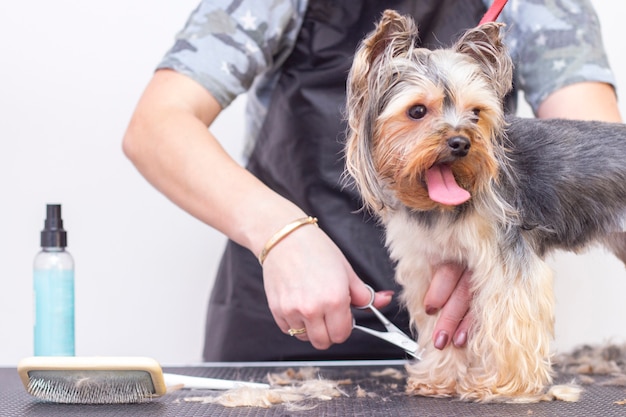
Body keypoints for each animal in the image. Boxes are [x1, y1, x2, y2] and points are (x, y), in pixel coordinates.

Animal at [344, 8, 624, 400]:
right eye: (417, 111)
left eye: (476, 113)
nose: (461, 142)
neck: (440, 205)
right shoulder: (430, 265)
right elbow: (438, 329)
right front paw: (439, 377)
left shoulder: (509, 259)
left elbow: (509, 319)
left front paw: (504, 385)